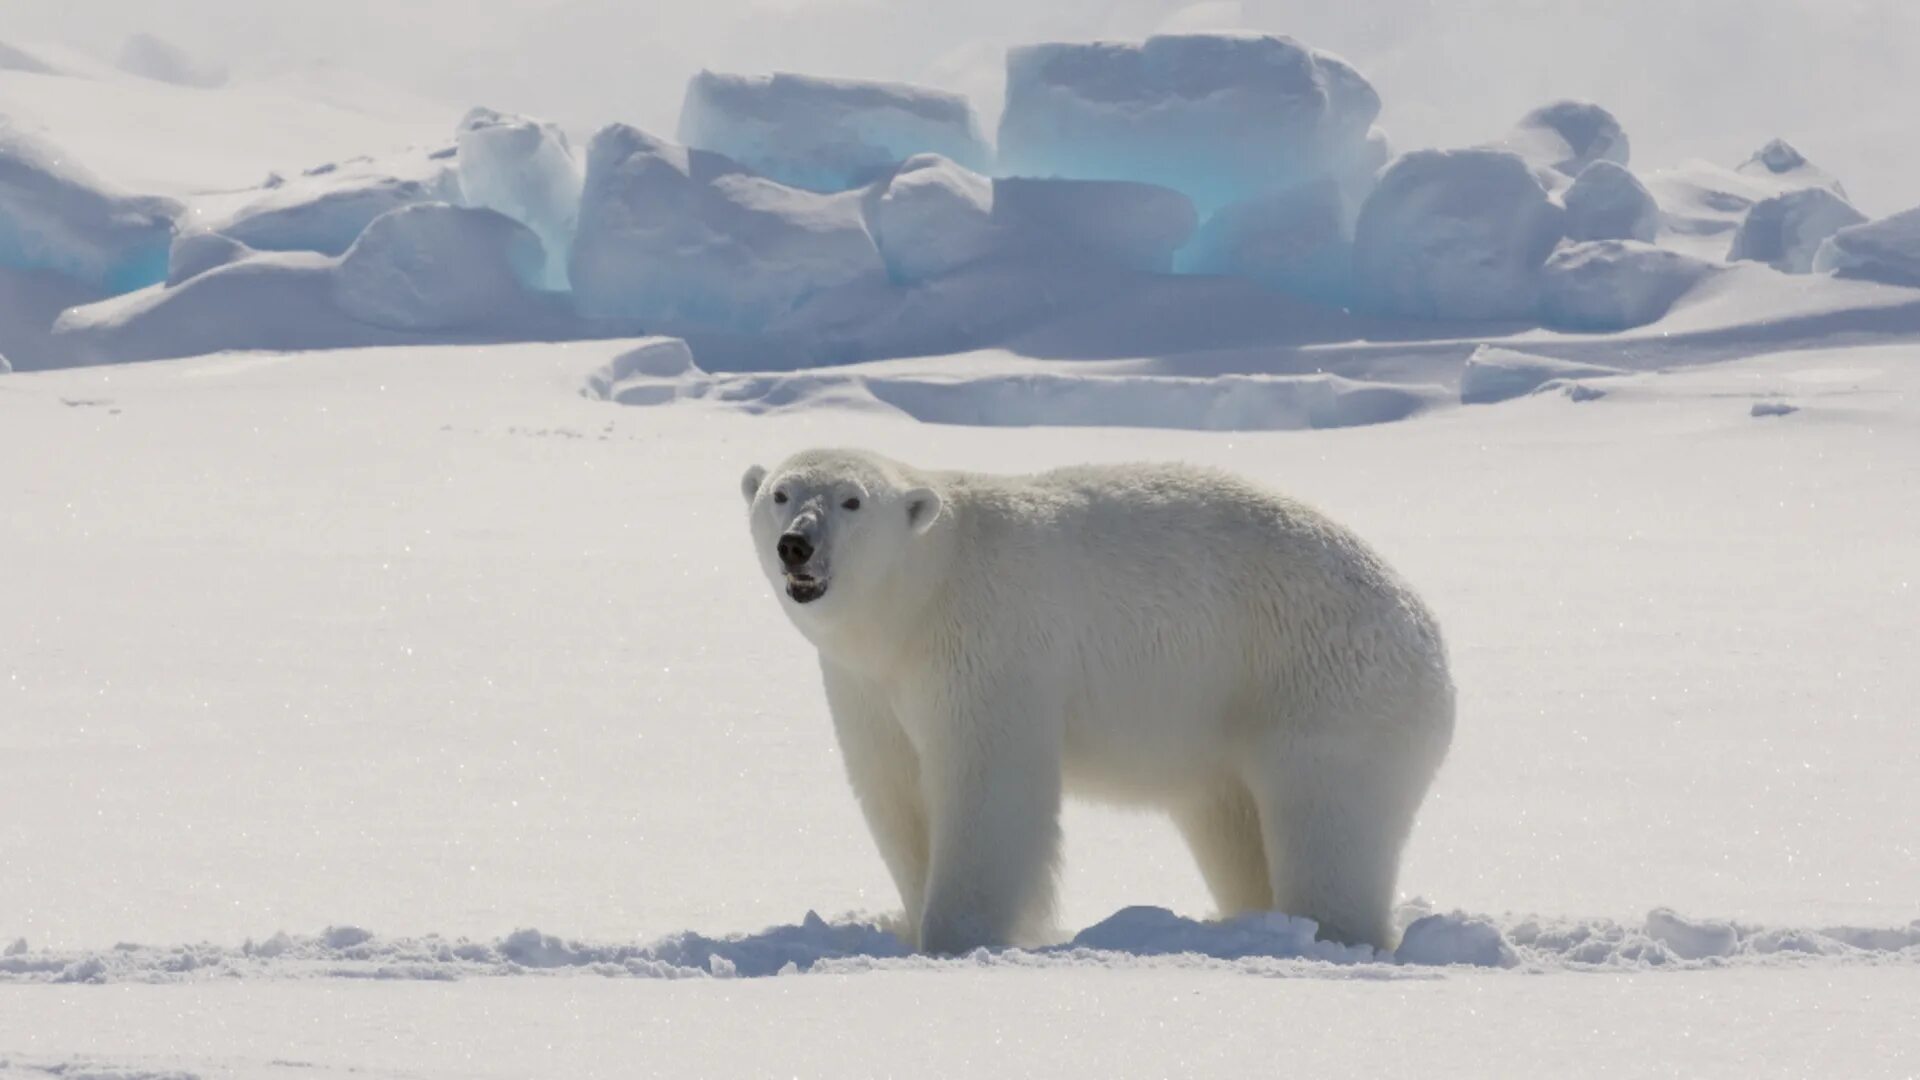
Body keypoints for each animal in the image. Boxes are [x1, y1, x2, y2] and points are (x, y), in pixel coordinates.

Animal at [737, 445, 1451, 949]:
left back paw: (1331, 934)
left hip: (1324, 688)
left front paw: (956, 936)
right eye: (781, 492)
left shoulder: (987, 643)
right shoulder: (868, 683)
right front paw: (911, 924)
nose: (796, 544)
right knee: (1233, 827)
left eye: (852, 500)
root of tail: (1430, 640)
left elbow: (988, 786)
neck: (919, 596)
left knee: (1328, 823)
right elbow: (895, 790)